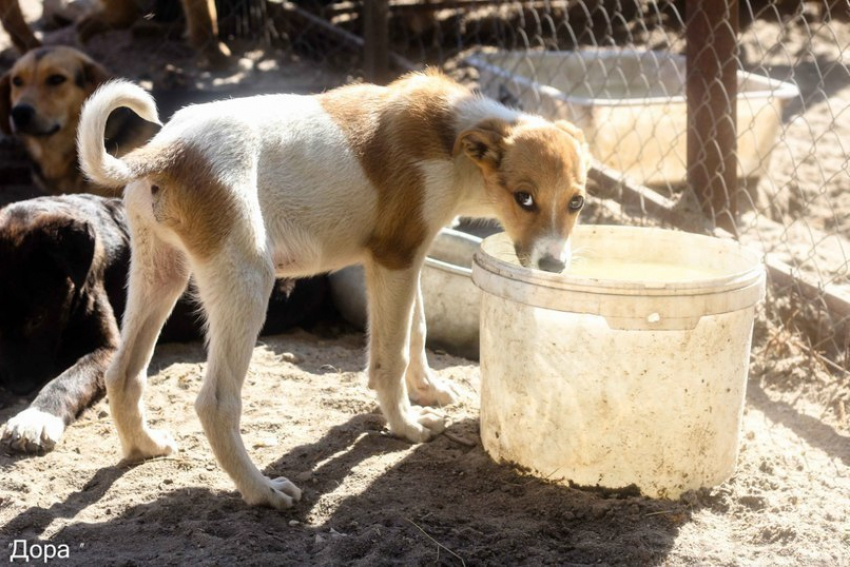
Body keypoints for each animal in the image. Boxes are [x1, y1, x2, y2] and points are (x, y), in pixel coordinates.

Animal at [76, 71, 588, 510]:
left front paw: (428, 391)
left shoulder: (407, 258)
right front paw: (405, 425)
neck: (453, 137)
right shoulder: (394, 259)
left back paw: (144, 445)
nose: (554, 267)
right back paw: (262, 490)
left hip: (161, 273)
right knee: (216, 403)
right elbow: (391, 356)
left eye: (577, 202)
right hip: (246, 283)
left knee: (123, 372)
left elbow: (417, 331)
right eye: (524, 198)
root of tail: (171, 149)